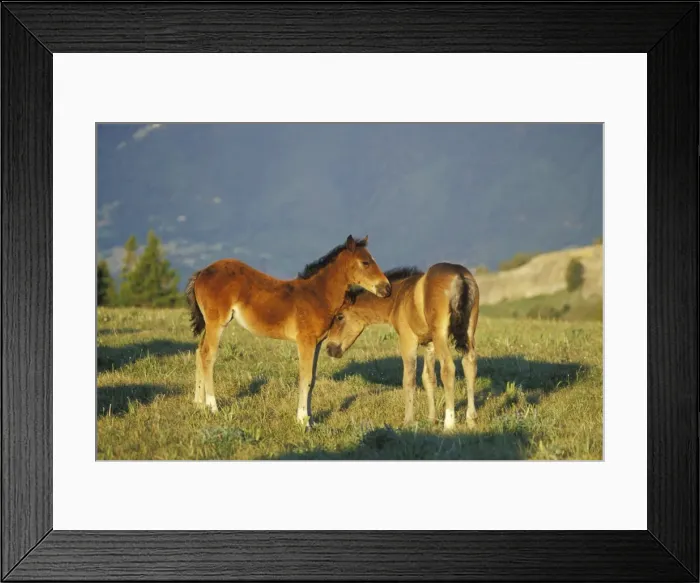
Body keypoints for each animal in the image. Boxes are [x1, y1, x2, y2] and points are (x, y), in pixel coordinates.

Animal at [185, 235, 391, 428]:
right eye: (365, 262)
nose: (387, 288)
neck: (317, 296)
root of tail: (202, 272)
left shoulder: (316, 343)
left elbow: (312, 379)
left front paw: (311, 419)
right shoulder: (305, 341)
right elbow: (305, 378)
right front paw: (302, 421)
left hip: (209, 324)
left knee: (199, 351)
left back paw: (198, 404)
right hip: (217, 323)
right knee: (208, 355)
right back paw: (212, 407)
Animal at [326, 263, 480, 431]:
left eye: (339, 317)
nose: (329, 348)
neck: (399, 298)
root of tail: (459, 275)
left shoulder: (408, 341)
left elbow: (409, 379)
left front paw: (408, 421)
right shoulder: (429, 344)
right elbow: (428, 378)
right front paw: (431, 419)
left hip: (441, 336)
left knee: (448, 369)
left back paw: (449, 424)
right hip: (468, 332)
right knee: (469, 364)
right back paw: (471, 419)